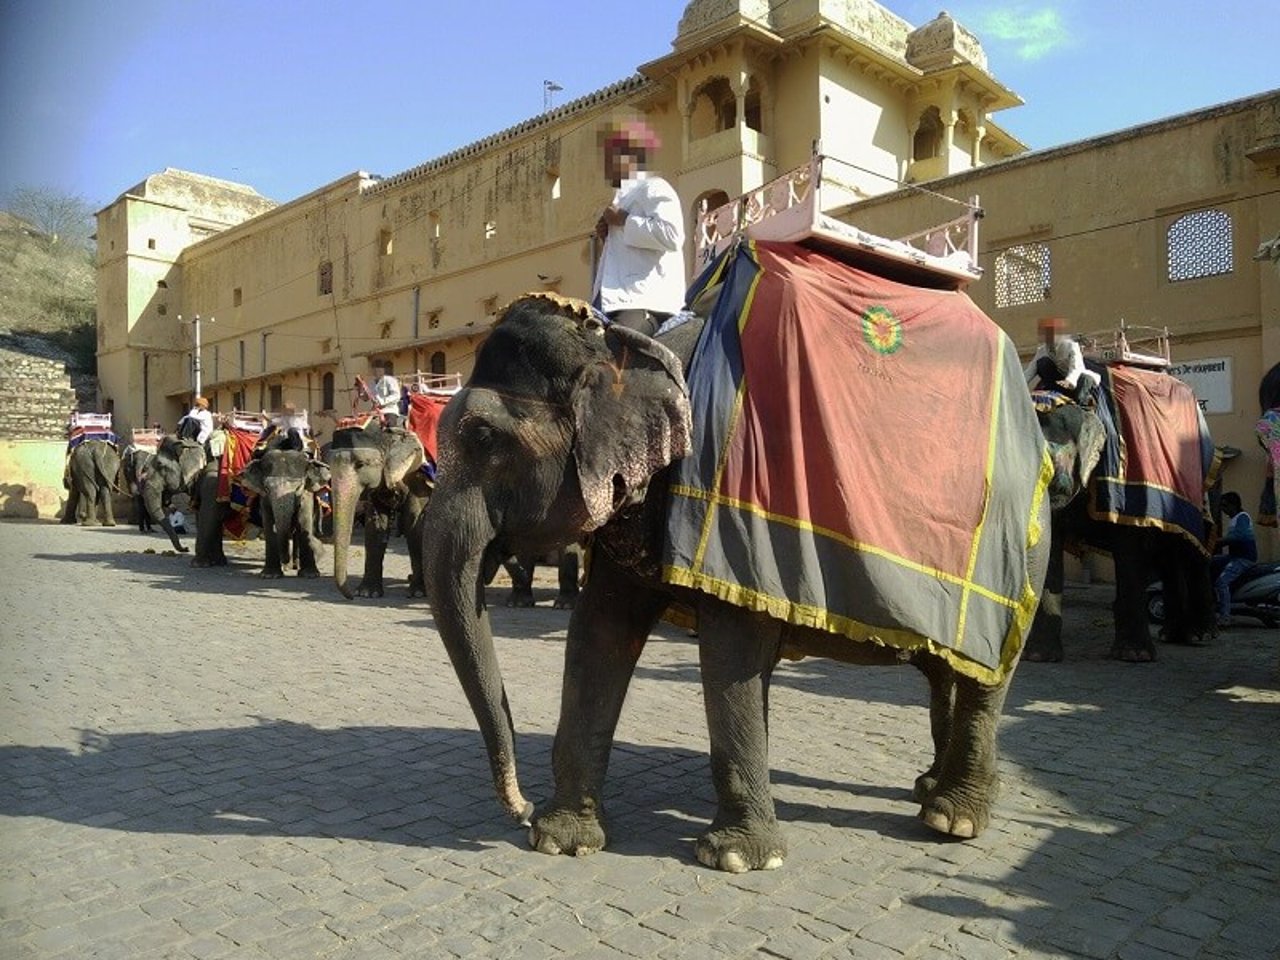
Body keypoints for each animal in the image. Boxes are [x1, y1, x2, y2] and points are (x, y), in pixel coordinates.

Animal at [239, 442, 330, 578]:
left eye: (299, 487)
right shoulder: (264, 497)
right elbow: (268, 522)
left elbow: (303, 519)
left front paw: (310, 575)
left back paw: (296, 565)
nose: (285, 561)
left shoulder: (307, 492)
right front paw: (270, 575)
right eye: (267, 487)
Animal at [327, 422, 432, 601]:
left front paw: (418, 593)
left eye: (360, 464)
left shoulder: (417, 476)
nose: (351, 597)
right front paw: (367, 593)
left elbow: (413, 523)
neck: (385, 437)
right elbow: (375, 525)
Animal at [419, 276, 1049, 870]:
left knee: (987, 677)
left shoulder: (734, 507)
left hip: (1020, 554)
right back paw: (931, 788)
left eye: (482, 437)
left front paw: (739, 858)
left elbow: (730, 651)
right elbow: (601, 633)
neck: (628, 344)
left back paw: (953, 819)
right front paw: (561, 840)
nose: (519, 808)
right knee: (949, 668)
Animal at [1024, 378, 1213, 665]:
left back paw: (1198, 636)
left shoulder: (1126, 484)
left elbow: (1129, 547)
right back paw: (1172, 635)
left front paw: (1134, 656)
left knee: (1190, 552)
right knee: (1167, 557)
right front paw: (1038, 657)